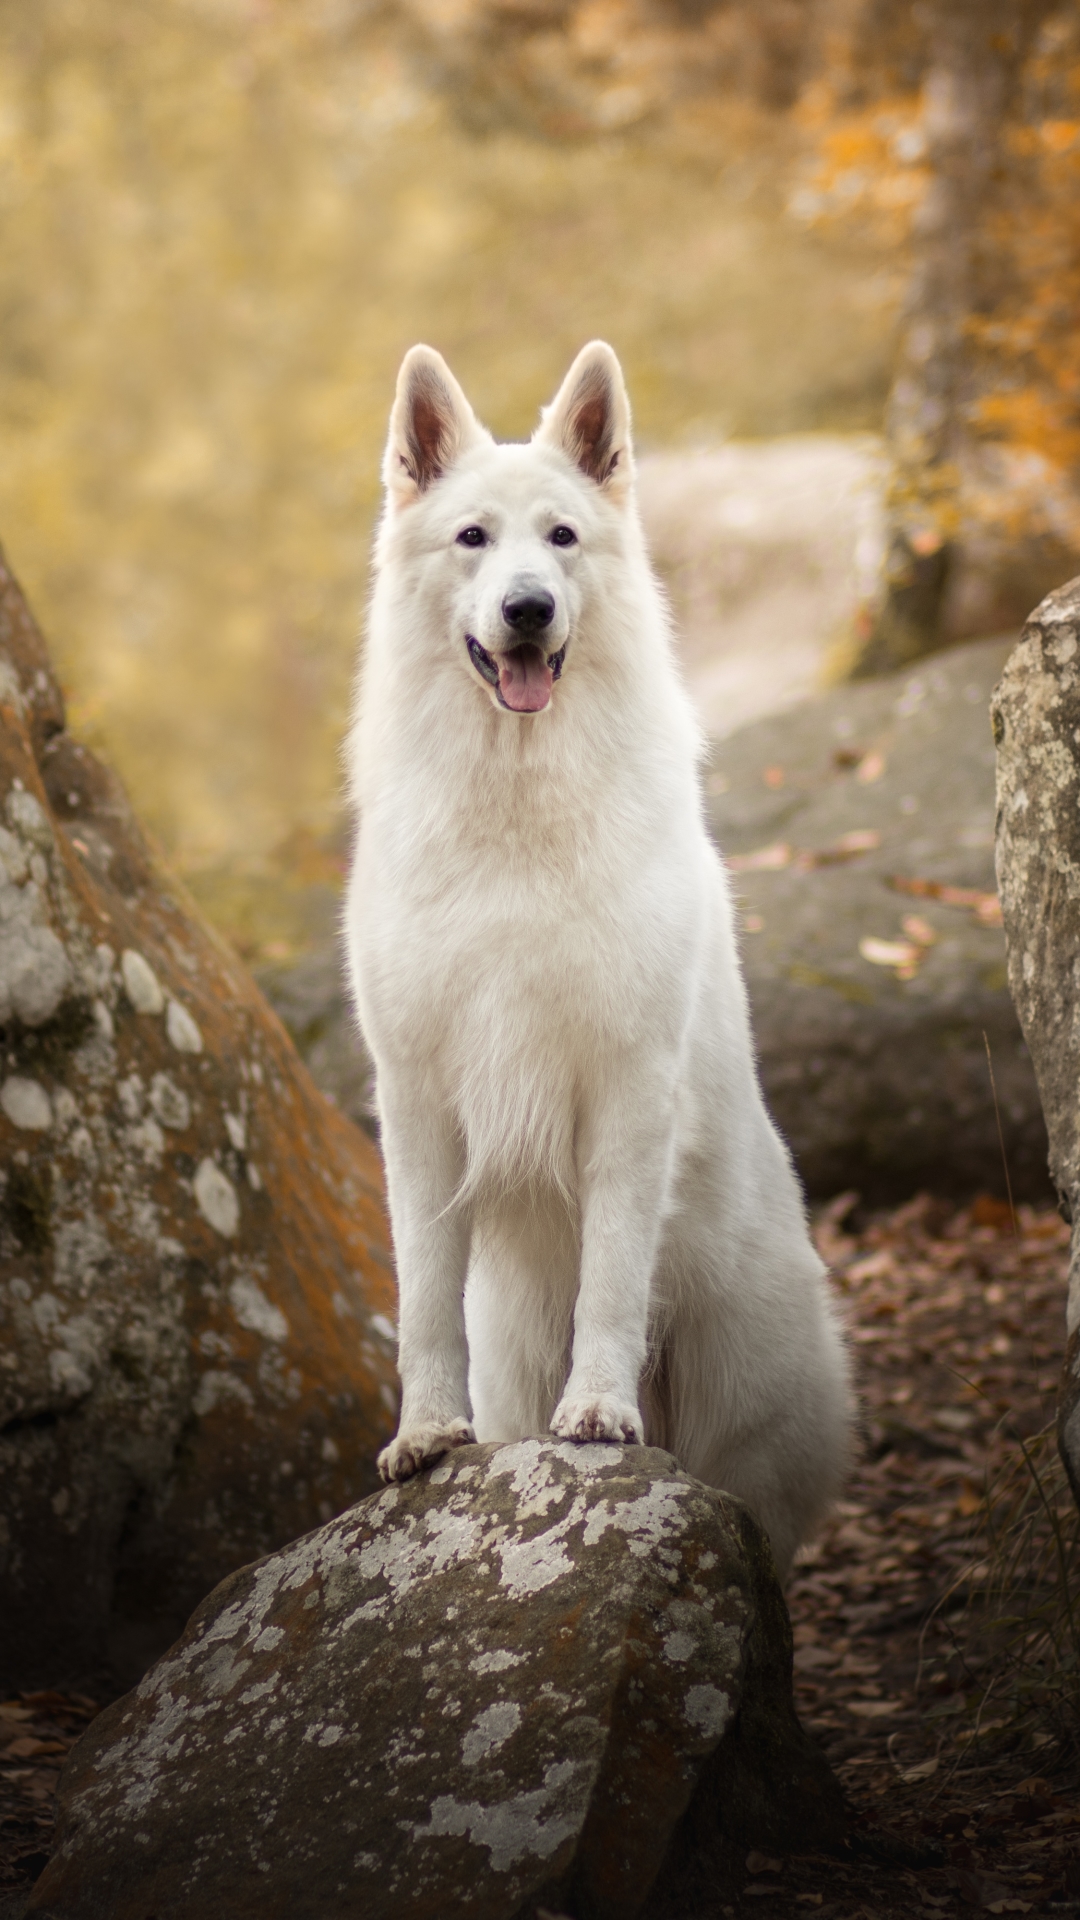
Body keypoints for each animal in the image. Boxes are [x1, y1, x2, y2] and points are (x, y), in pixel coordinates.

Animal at [343, 341, 849, 1574]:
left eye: (563, 537)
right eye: (474, 538)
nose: (527, 609)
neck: (516, 804)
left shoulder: (625, 1089)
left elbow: (613, 1278)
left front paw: (601, 1413)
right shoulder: (416, 1102)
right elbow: (421, 1299)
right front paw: (424, 1434)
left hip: (741, 1418)